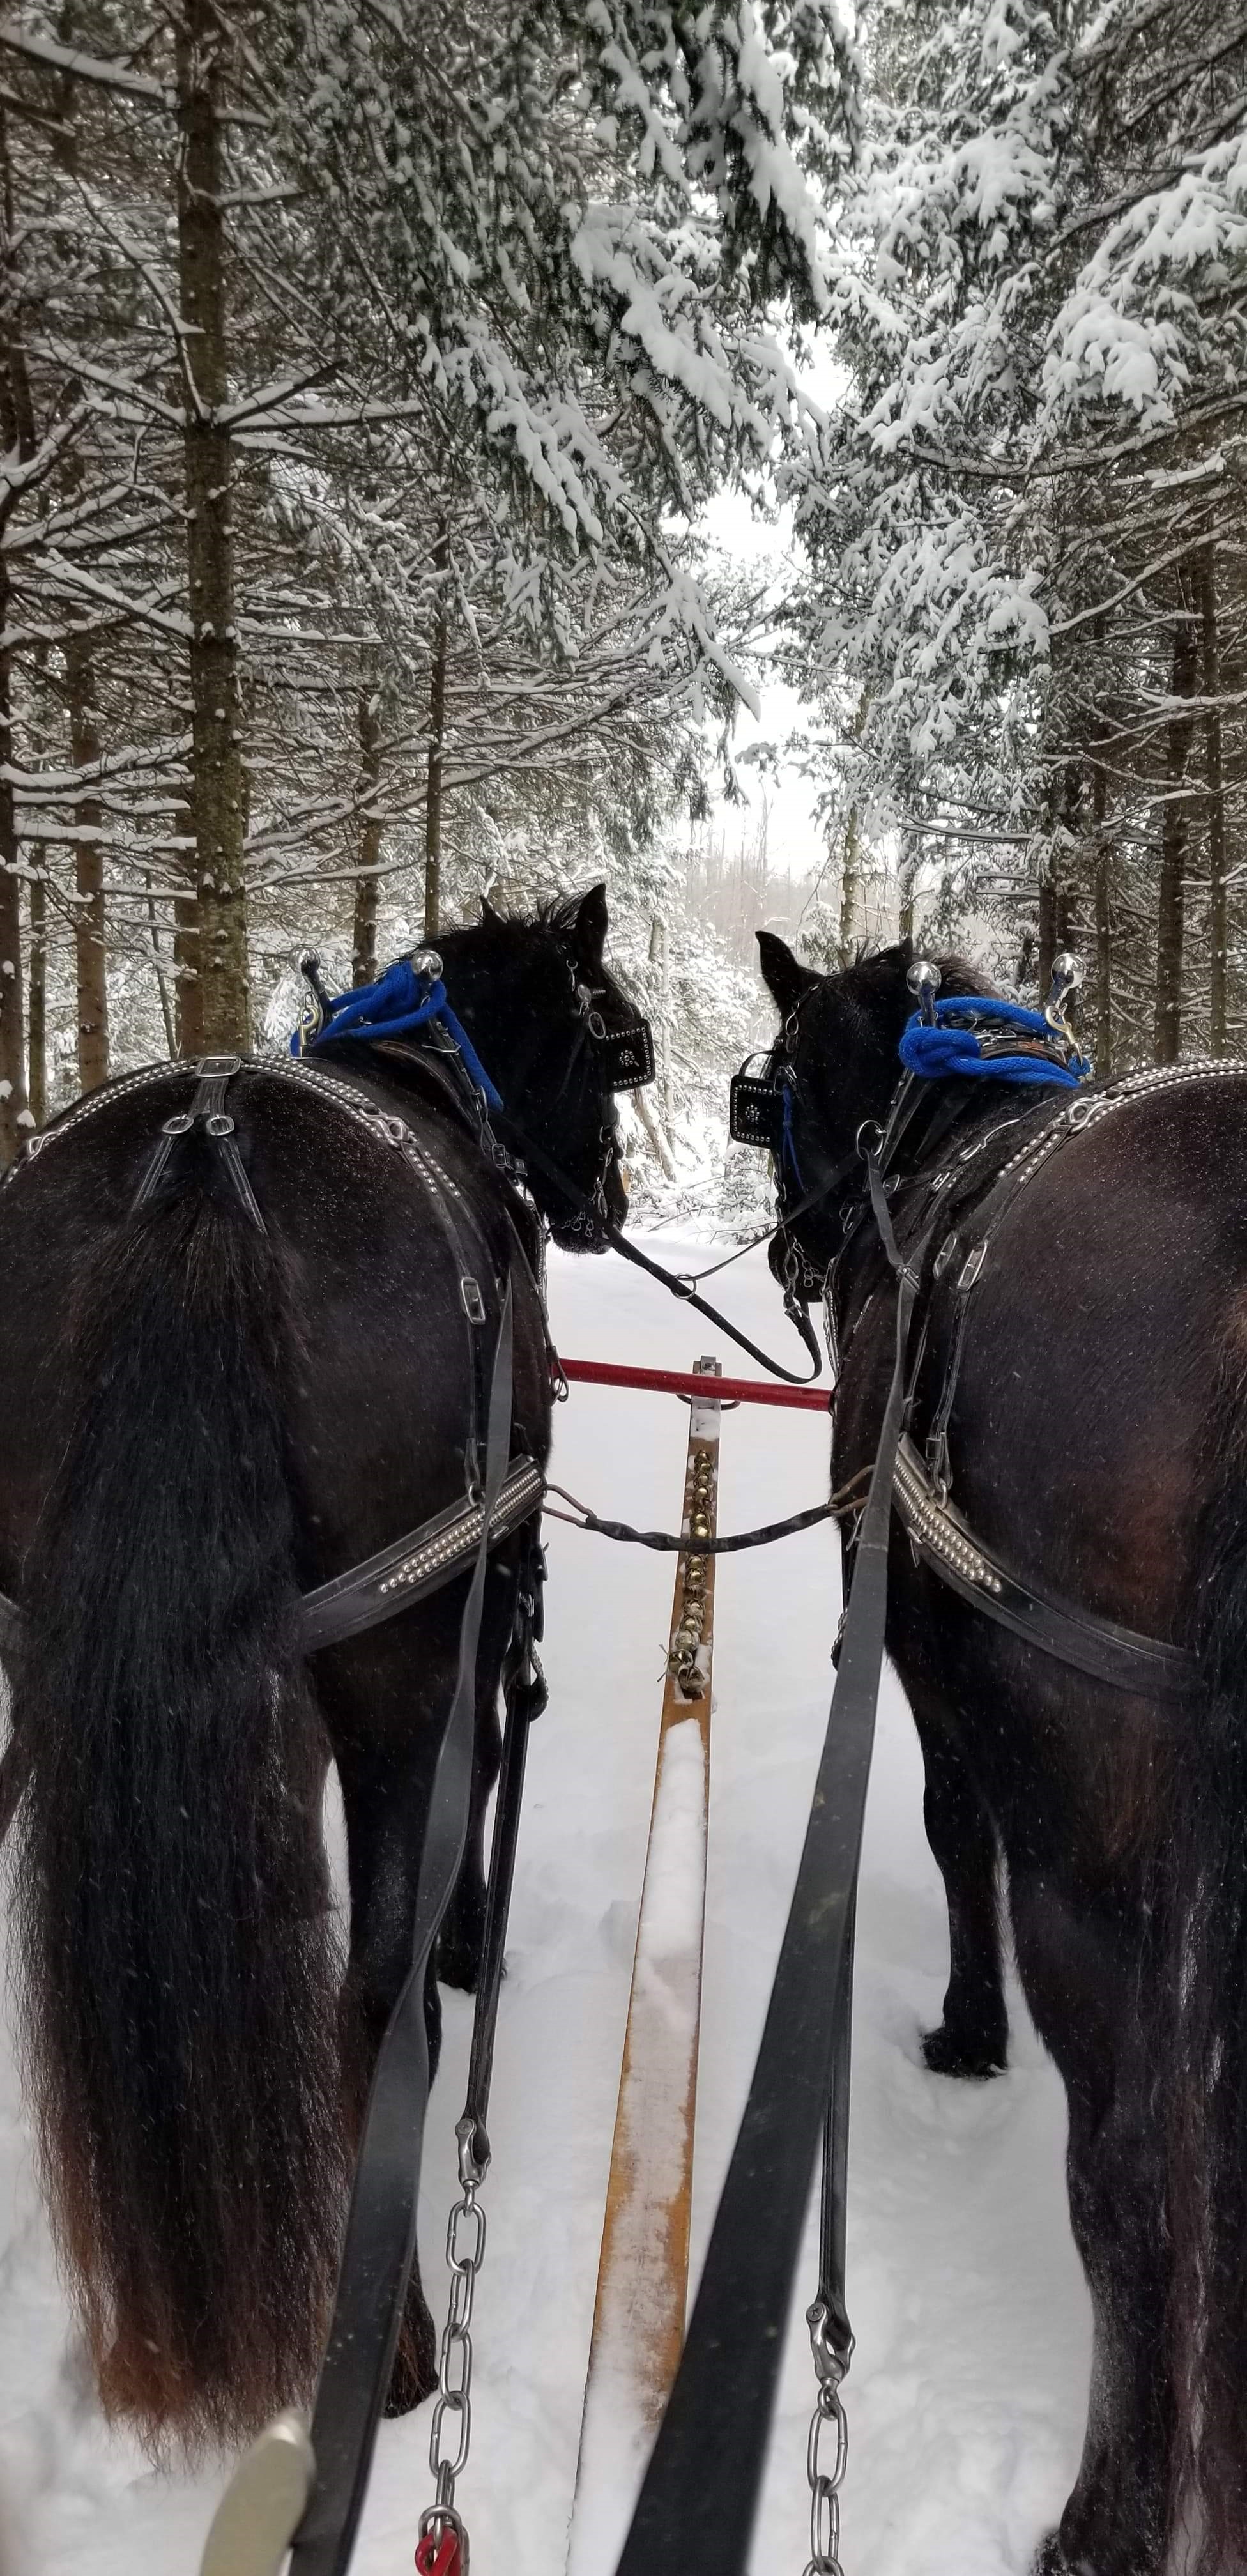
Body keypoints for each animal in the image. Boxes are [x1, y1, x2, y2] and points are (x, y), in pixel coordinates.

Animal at [0, 886, 639, 2452]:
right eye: (614, 1041)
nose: (606, 1200)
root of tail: (203, 1166)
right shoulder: (476, 1600)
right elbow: (482, 1779)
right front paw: (474, 1938)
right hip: (393, 1659)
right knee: (369, 1997)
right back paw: (396, 2341)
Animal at [757, 937, 1246, 2576]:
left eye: (776, 1081)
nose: (797, 1248)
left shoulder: (932, 1680)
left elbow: (947, 1824)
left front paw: (970, 2030)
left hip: (1095, 1869)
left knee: (1132, 2178)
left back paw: (1102, 2522)